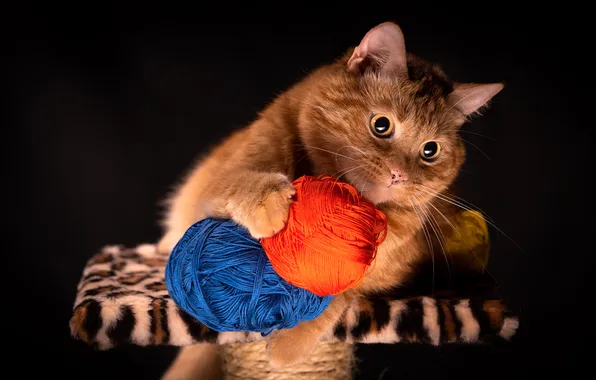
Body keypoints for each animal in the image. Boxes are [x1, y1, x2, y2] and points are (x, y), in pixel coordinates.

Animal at [158, 22, 502, 378]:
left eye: (430, 150)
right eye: (381, 125)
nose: (399, 175)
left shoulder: (390, 268)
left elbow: (340, 287)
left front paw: (289, 344)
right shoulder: (219, 184)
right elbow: (244, 183)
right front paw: (271, 203)